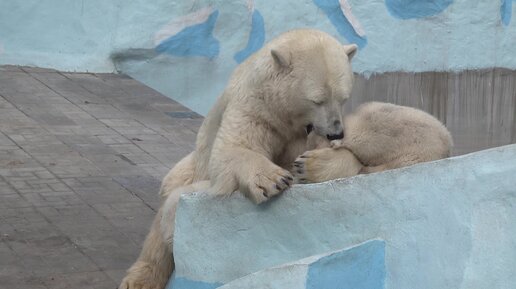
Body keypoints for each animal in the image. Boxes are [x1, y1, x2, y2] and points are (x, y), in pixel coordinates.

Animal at [118, 29, 356, 288]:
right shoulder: (256, 108)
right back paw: (140, 278)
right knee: (167, 214)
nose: (336, 132)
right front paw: (274, 180)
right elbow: (232, 148)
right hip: (184, 174)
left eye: (343, 98)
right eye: (317, 100)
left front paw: (310, 165)